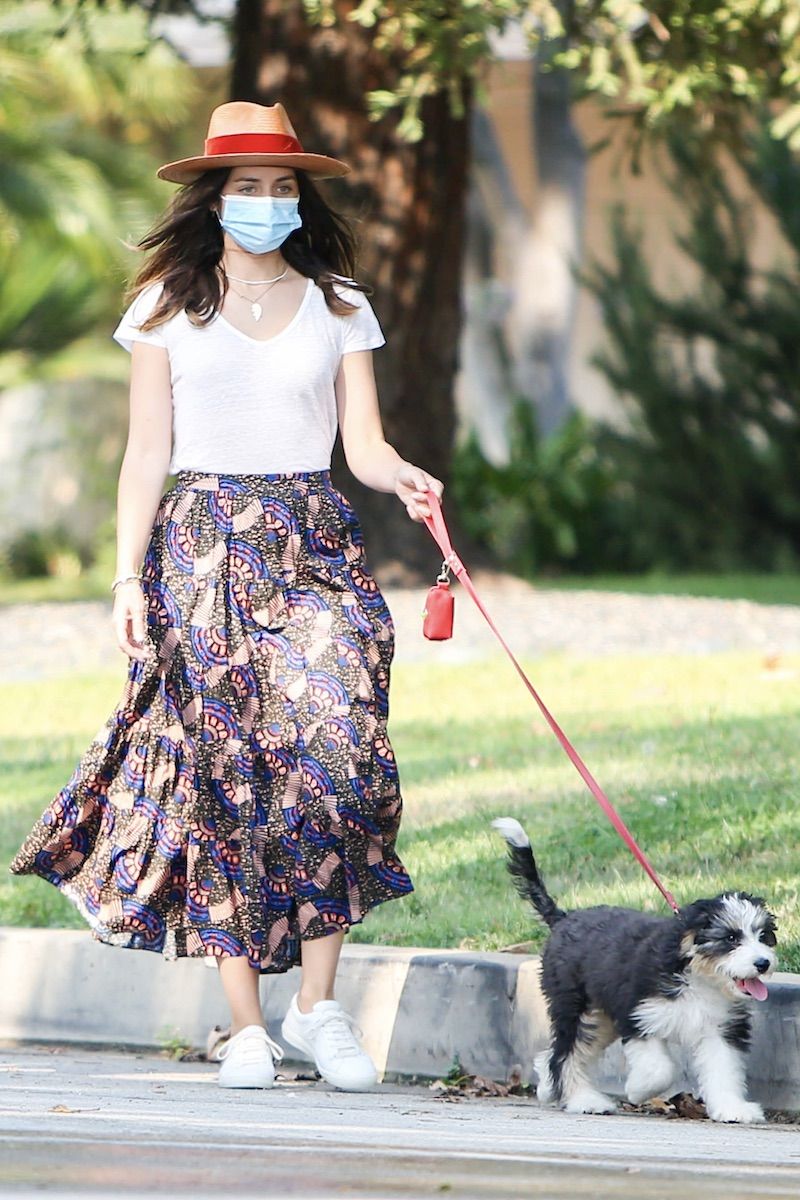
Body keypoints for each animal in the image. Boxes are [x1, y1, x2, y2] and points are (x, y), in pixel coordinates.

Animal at [492, 817, 777, 1123]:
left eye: (763, 936)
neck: (695, 977)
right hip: (573, 1006)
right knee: (565, 1054)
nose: (763, 963)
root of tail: (564, 918)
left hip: (599, 1019)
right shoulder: (638, 1015)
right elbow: (661, 1070)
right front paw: (638, 1090)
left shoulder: (720, 1029)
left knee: (558, 1054)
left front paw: (732, 1108)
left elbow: (723, 1069)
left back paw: (549, 1087)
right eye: (731, 938)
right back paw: (584, 1100)